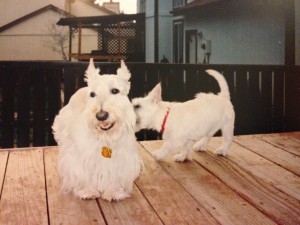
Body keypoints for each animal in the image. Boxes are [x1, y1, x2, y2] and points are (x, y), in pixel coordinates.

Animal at [52, 59, 142, 201]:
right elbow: (83, 174)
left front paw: (113, 191)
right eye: (92, 94)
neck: (105, 137)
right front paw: (87, 191)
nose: (101, 116)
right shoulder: (81, 159)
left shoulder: (122, 160)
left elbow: (115, 175)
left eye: (115, 90)